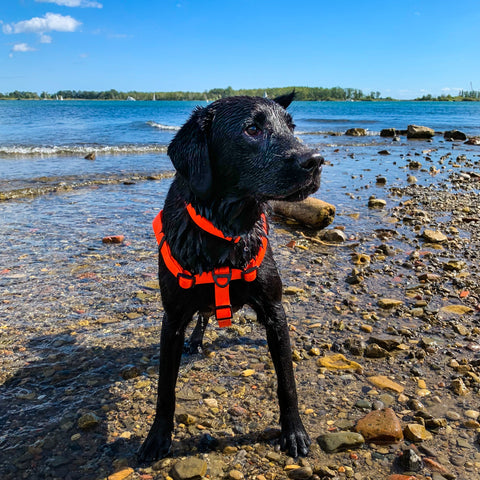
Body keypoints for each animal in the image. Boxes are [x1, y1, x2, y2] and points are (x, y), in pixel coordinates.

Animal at [139, 91, 326, 462]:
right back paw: (196, 341)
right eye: (252, 129)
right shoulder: (173, 317)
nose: (315, 160)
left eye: (291, 126)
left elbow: (287, 382)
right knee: (203, 316)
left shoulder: (274, 309)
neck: (225, 232)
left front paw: (294, 432)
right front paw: (157, 437)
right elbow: (165, 388)